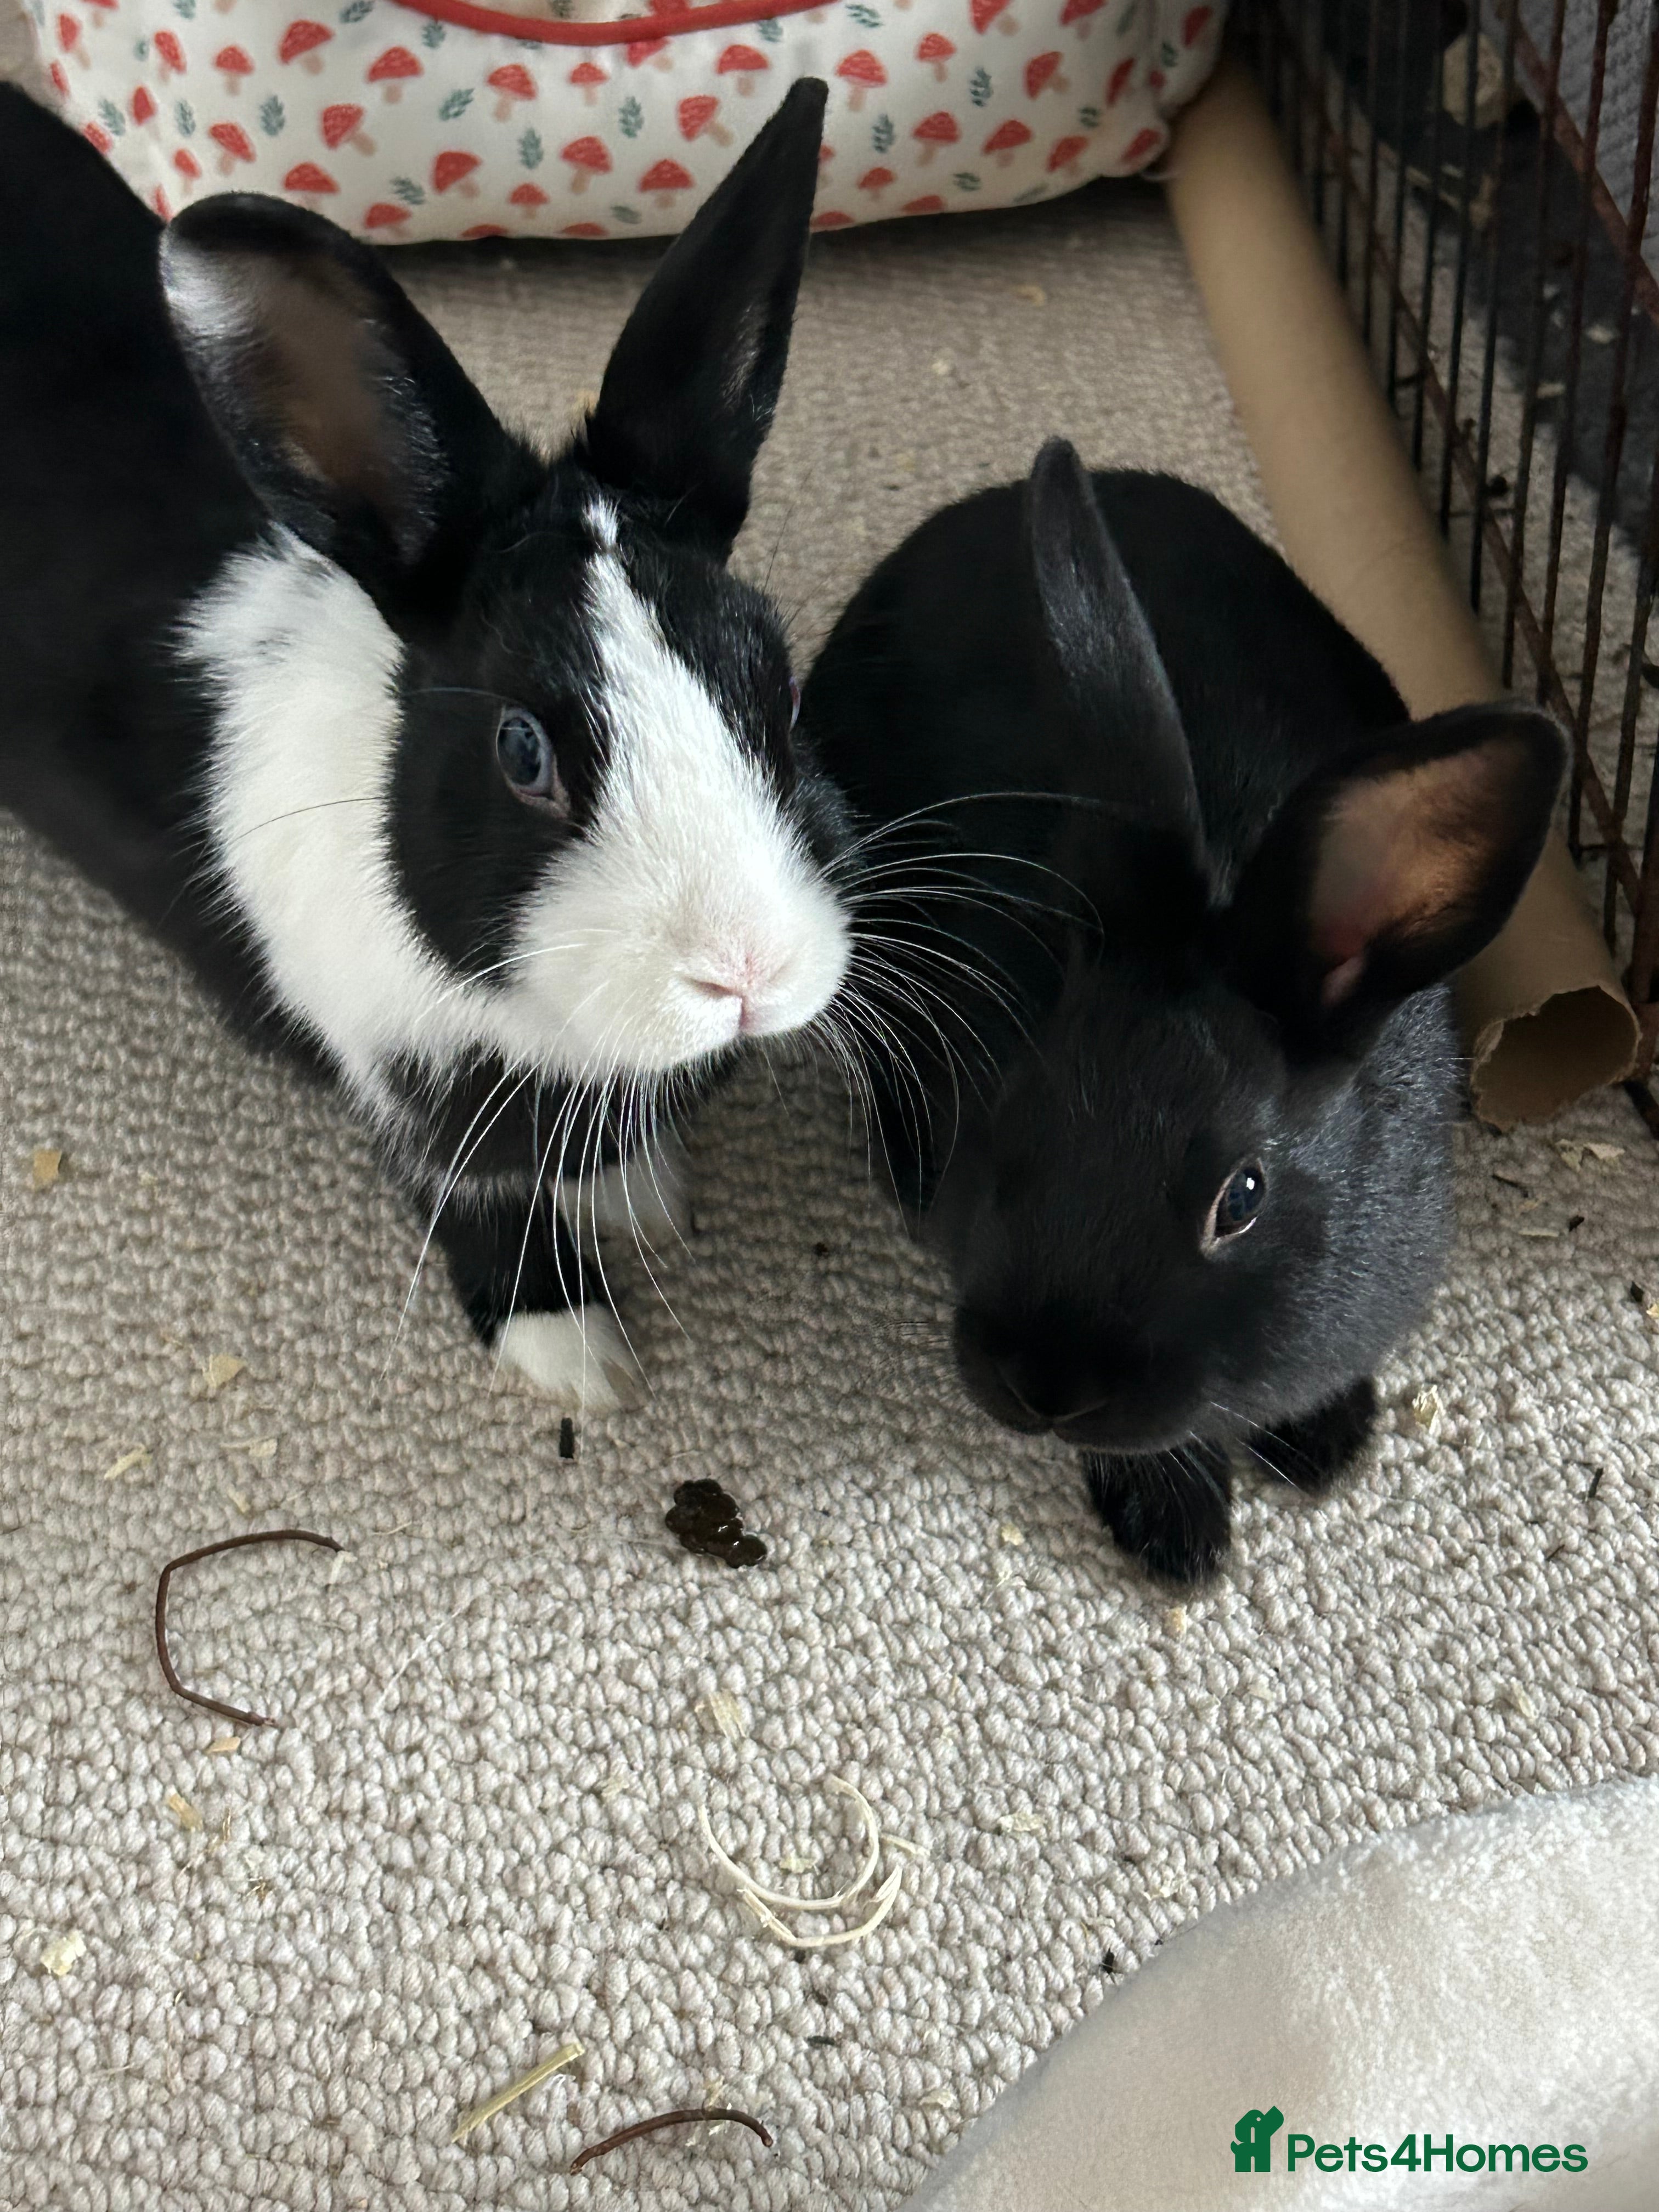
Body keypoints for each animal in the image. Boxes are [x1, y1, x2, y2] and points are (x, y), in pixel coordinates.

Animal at [0, 79, 851, 1413]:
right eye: (520, 750)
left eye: (773, 678)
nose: (745, 975)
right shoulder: (405, 1094)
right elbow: (474, 1203)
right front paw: (576, 1351)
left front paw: (638, 1196)